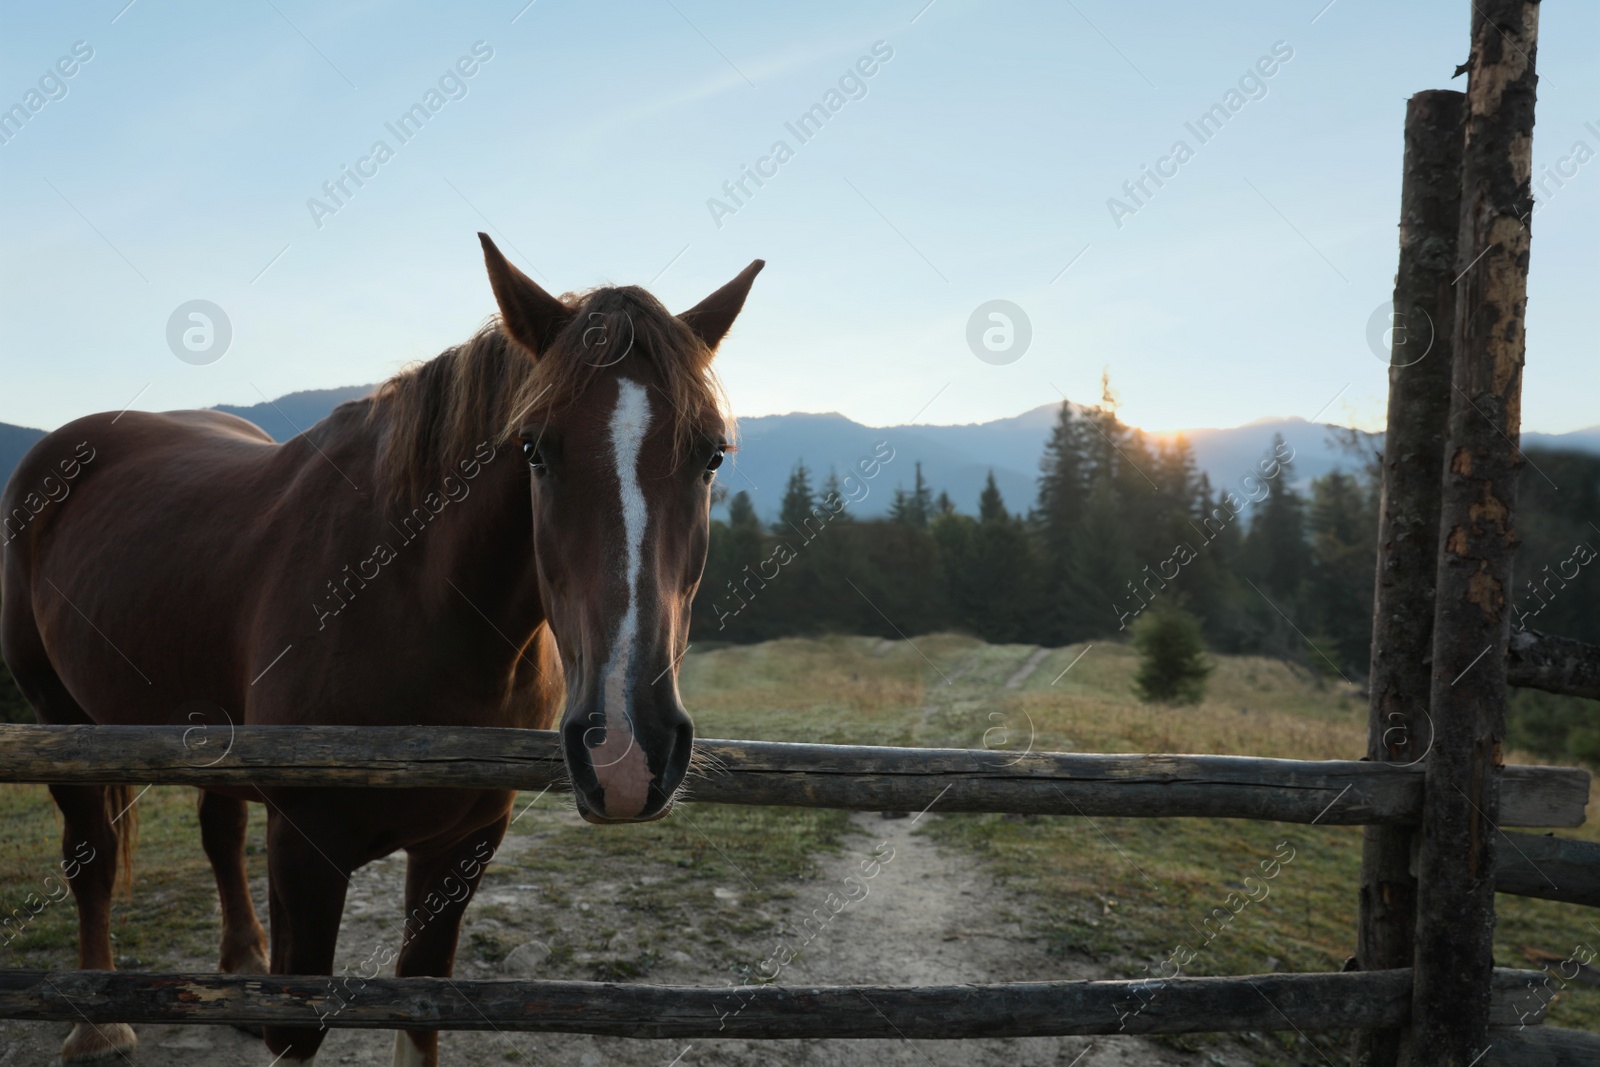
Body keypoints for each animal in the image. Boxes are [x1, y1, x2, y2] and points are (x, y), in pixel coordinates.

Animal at [0, 235, 761, 1067]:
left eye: (712, 455)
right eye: (534, 447)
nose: (625, 750)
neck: (412, 604)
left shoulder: (462, 845)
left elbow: (421, 1004)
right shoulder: (305, 855)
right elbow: (296, 1029)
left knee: (218, 831)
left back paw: (239, 968)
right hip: (59, 716)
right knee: (93, 854)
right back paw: (97, 1022)